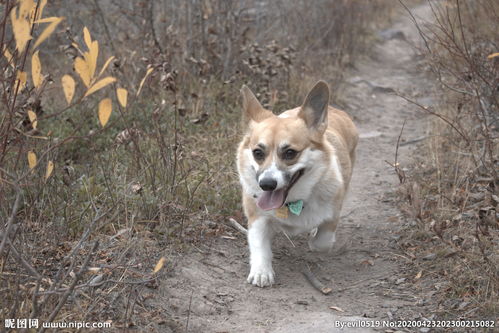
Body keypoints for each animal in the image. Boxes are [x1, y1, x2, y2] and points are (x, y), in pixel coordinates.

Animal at [236, 81, 358, 286]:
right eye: (257, 153)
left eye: (290, 153)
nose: (266, 184)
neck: (292, 202)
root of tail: (335, 110)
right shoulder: (257, 217)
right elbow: (259, 244)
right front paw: (262, 271)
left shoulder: (333, 212)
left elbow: (322, 242)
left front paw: (314, 239)